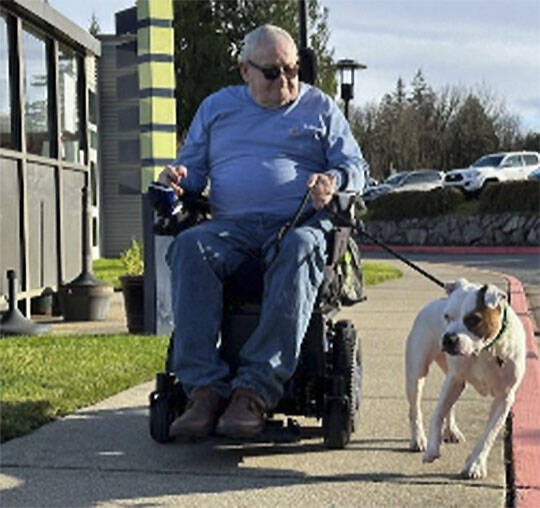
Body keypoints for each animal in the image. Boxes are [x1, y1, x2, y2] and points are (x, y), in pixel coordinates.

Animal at [408, 280, 524, 478]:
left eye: (473, 319)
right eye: (446, 316)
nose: (448, 338)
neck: (486, 350)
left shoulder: (505, 397)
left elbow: (489, 434)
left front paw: (475, 464)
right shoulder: (453, 379)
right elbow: (437, 413)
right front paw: (432, 448)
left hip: (455, 382)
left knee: (450, 406)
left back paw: (451, 431)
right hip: (417, 373)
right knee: (415, 409)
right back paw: (419, 439)